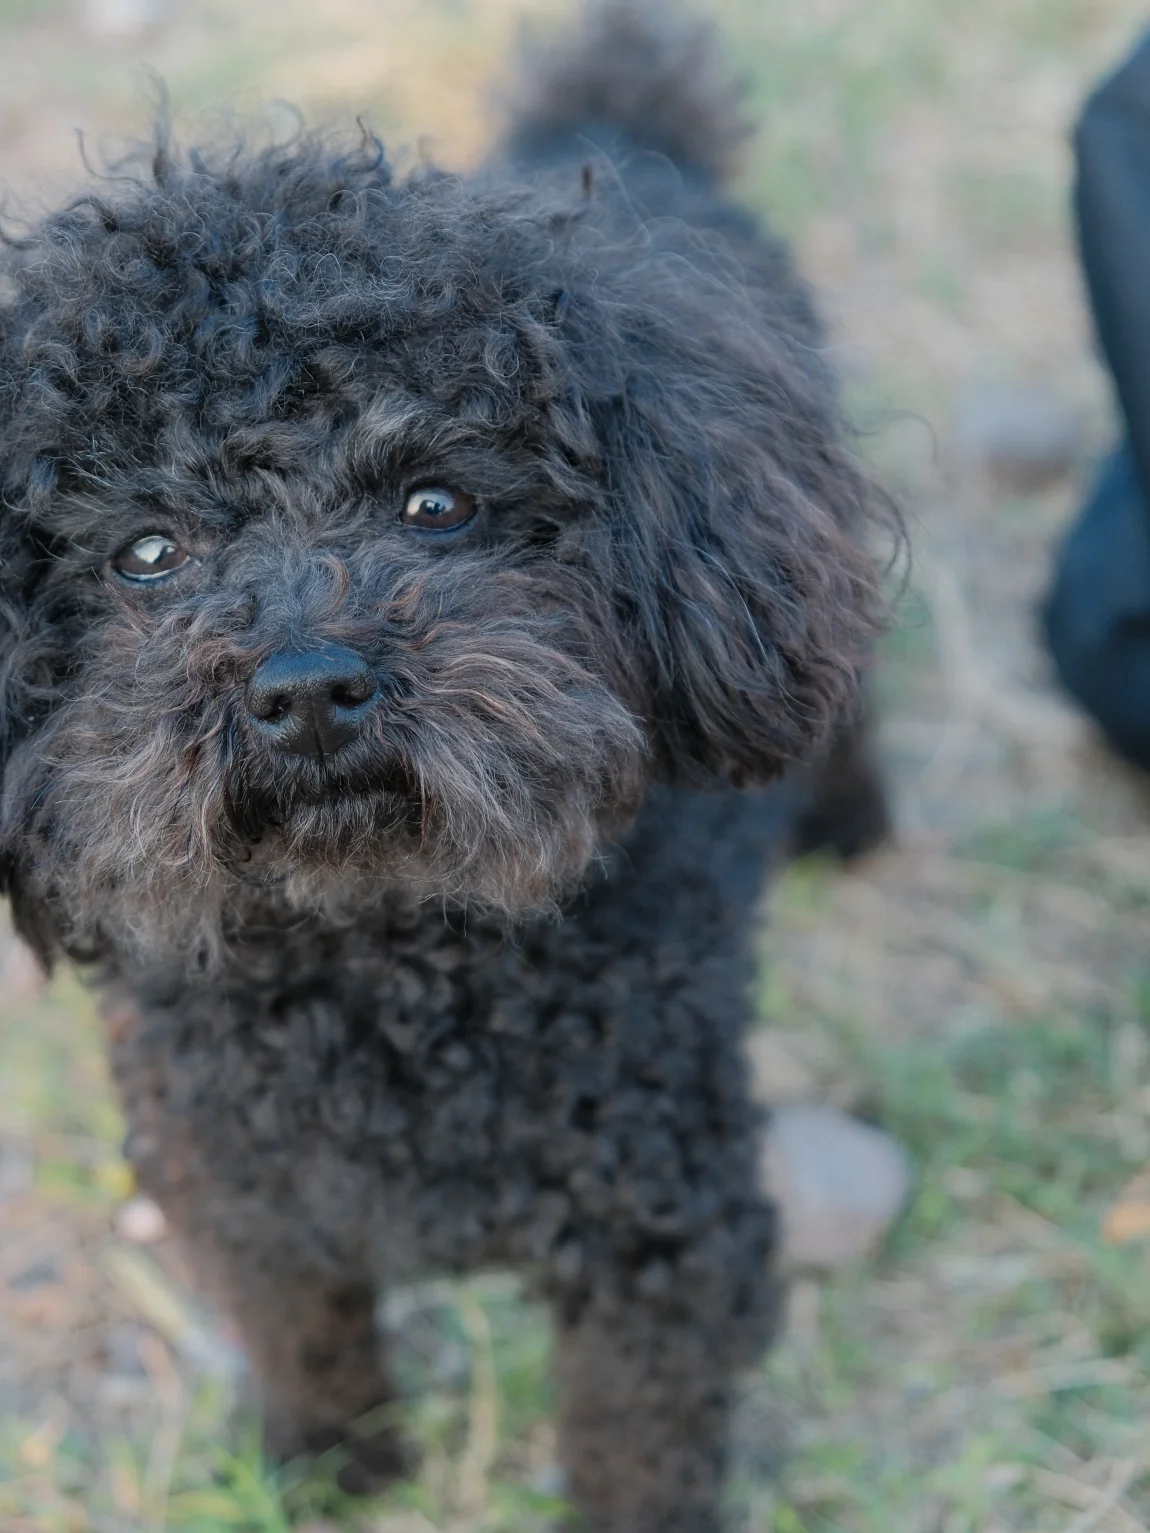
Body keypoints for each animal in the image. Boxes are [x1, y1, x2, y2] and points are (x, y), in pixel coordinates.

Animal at [0, 4, 889, 1527]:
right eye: (146, 552)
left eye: (436, 503)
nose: (306, 691)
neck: (378, 963)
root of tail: (615, 132)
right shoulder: (246, 1197)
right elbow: (307, 1337)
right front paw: (326, 1472)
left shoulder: (661, 1233)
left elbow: (640, 1438)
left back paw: (849, 818)